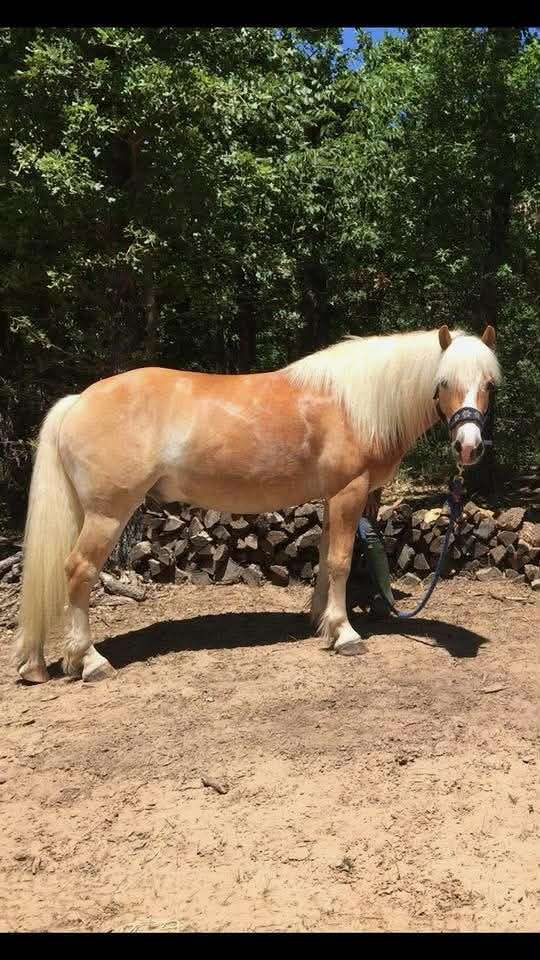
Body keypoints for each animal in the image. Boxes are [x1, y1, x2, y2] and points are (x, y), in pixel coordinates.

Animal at [14, 324, 500, 684]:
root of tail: (79, 400)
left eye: (488, 385)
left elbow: (325, 557)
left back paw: (40, 663)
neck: (355, 404)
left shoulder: (330, 497)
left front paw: (319, 620)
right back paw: (91, 661)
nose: (469, 446)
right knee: (78, 571)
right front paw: (344, 633)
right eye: (443, 382)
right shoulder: (349, 492)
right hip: (107, 514)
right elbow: (342, 560)